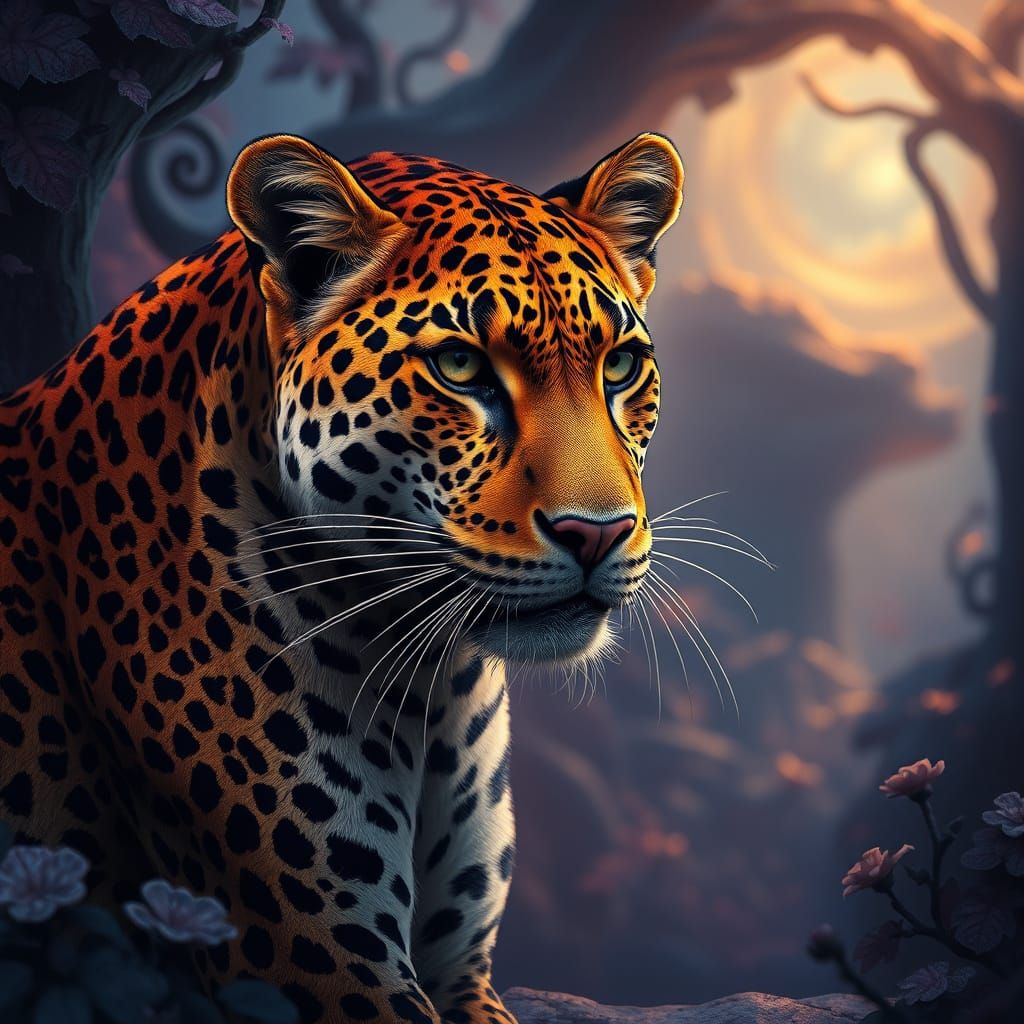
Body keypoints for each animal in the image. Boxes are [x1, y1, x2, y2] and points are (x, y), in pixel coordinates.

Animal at [0, 131, 684, 1022]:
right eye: (460, 366)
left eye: (621, 366)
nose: (596, 533)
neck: (436, 688)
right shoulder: (323, 963)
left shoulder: (462, 969)